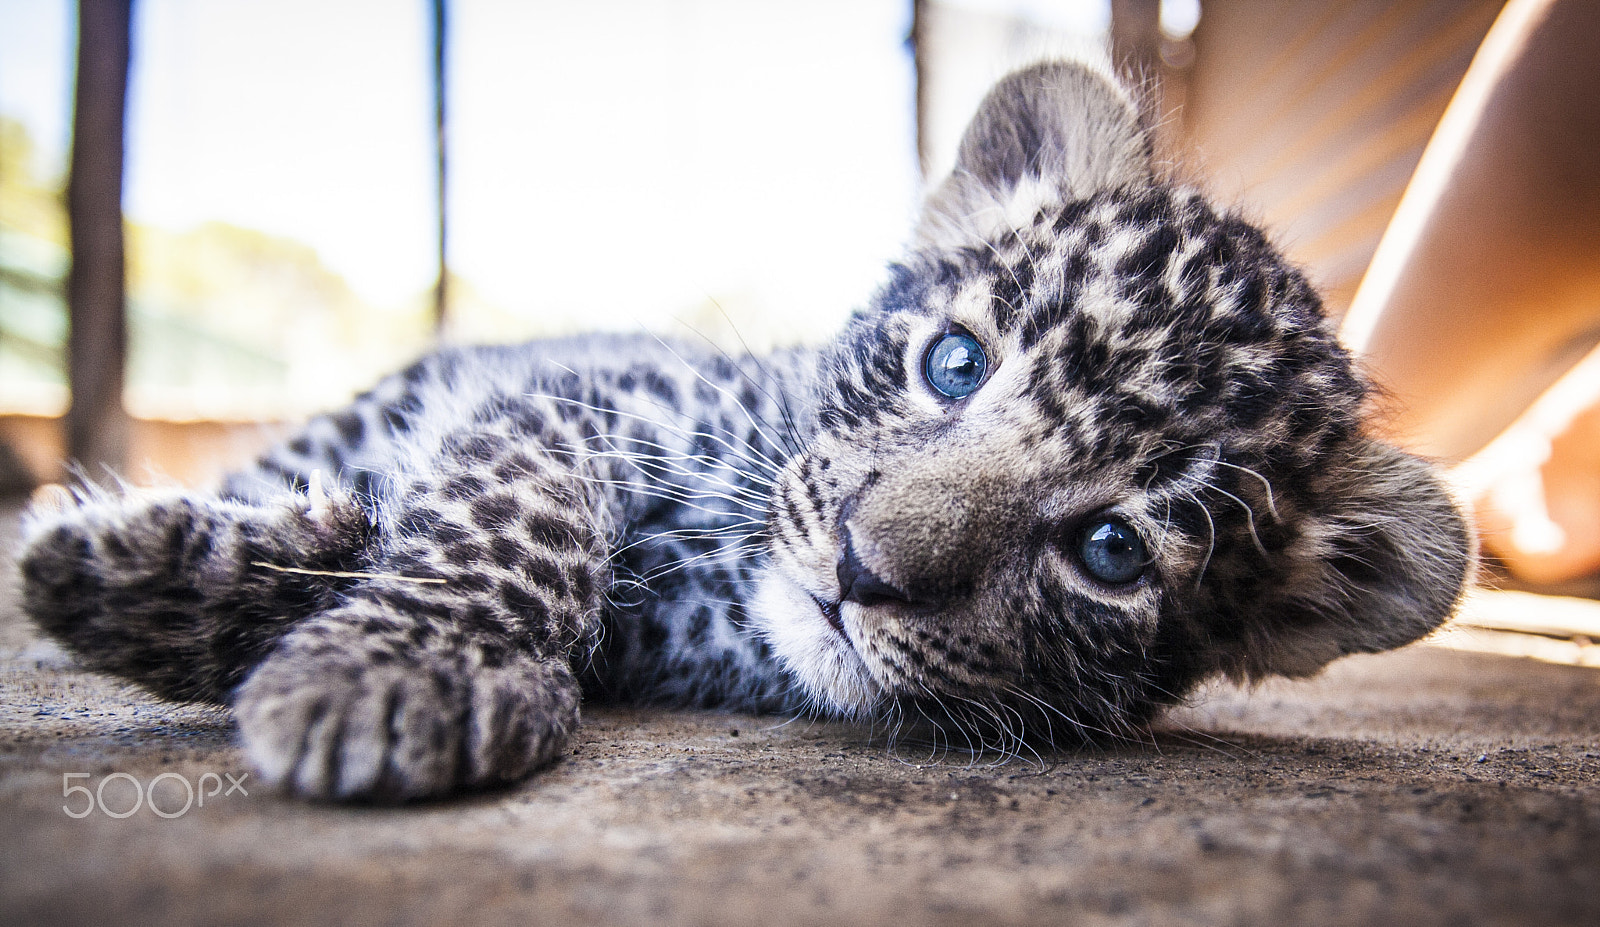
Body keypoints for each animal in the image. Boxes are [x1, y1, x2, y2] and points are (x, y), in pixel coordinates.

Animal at [16, 60, 1474, 802]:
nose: (859, 571)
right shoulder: (583, 403)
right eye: (953, 363)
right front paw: (404, 671)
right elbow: (507, 520)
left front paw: (158, 578)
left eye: (1111, 550)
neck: (722, 607)